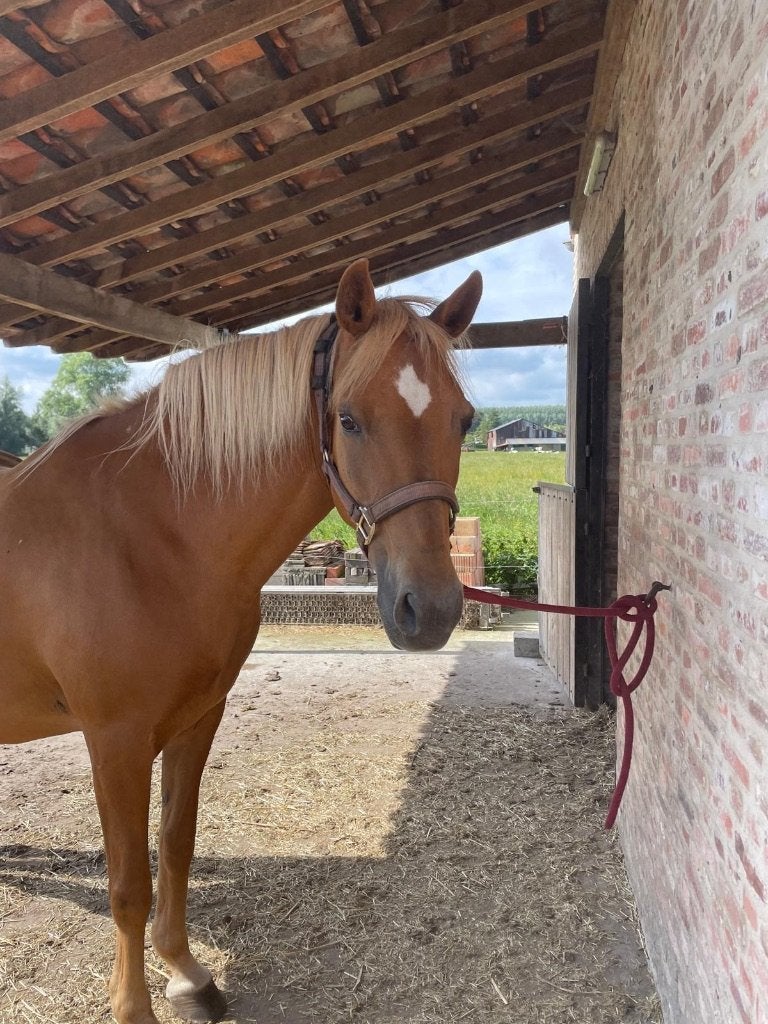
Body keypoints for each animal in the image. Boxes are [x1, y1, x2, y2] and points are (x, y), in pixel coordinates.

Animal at [0, 257, 481, 1024]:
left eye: (463, 420)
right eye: (349, 419)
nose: (430, 609)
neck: (151, 533)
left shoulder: (197, 719)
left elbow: (176, 846)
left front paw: (186, 974)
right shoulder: (116, 741)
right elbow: (128, 883)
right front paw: (133, 1005)